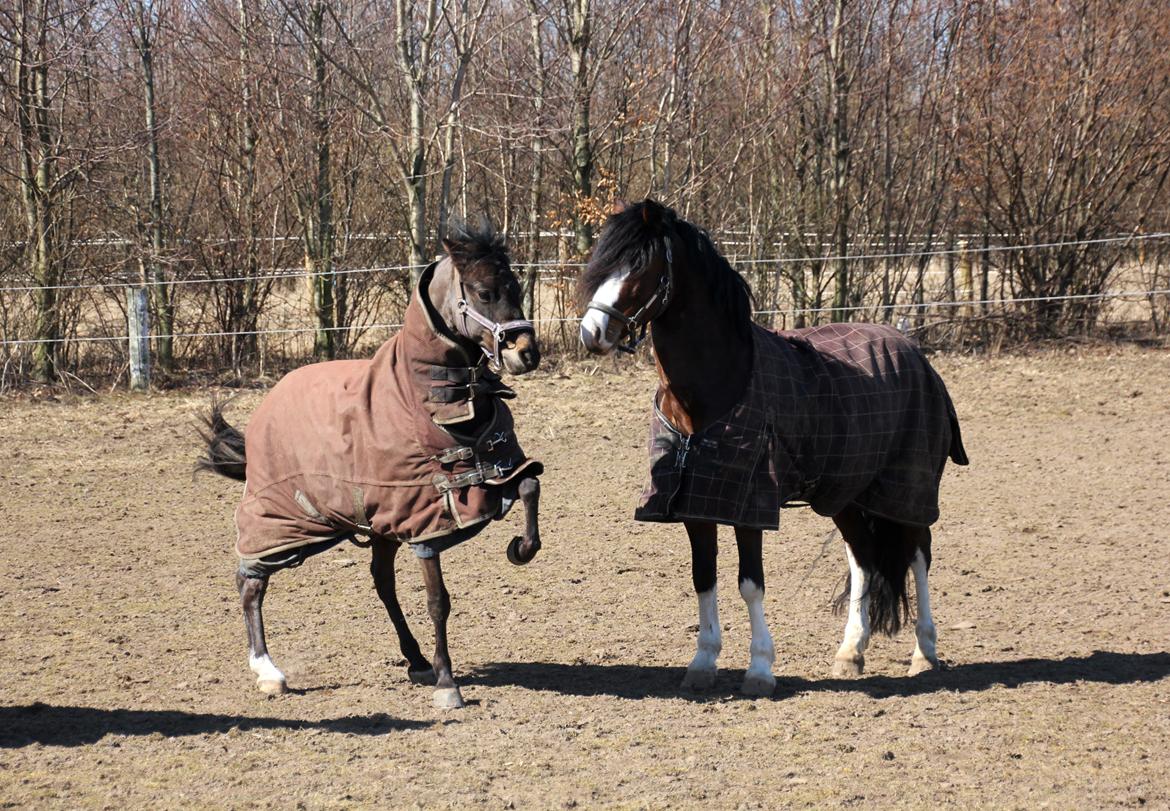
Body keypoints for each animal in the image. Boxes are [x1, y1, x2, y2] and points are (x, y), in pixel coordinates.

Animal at [197, 219, 544, 709]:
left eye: (515, 285)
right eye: (483, 291)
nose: (526, 353)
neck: (429, 400)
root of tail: (265, 409)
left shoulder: (487, 484)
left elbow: (530, 486)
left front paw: (520, 548)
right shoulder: (427, 526)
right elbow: (438, 601)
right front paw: (448, 684)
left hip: (374, 526)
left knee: (381, 582)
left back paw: (415, 659)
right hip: (283, 525)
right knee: (250, 584)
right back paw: (268, 671)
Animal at [578, 199, 968, 696]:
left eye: (641, 265)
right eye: (603, 260)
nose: (592, 332)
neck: (717, 383)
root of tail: (913, 350)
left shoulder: (750, 503)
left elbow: (751, 584)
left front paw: (760, 669)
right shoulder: (694, 504)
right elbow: (703, 578)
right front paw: (702, 663)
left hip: (908, 488)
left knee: (918, 554)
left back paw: (924, 652)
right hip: (846, 492)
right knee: (864, 559)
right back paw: (851, 652)